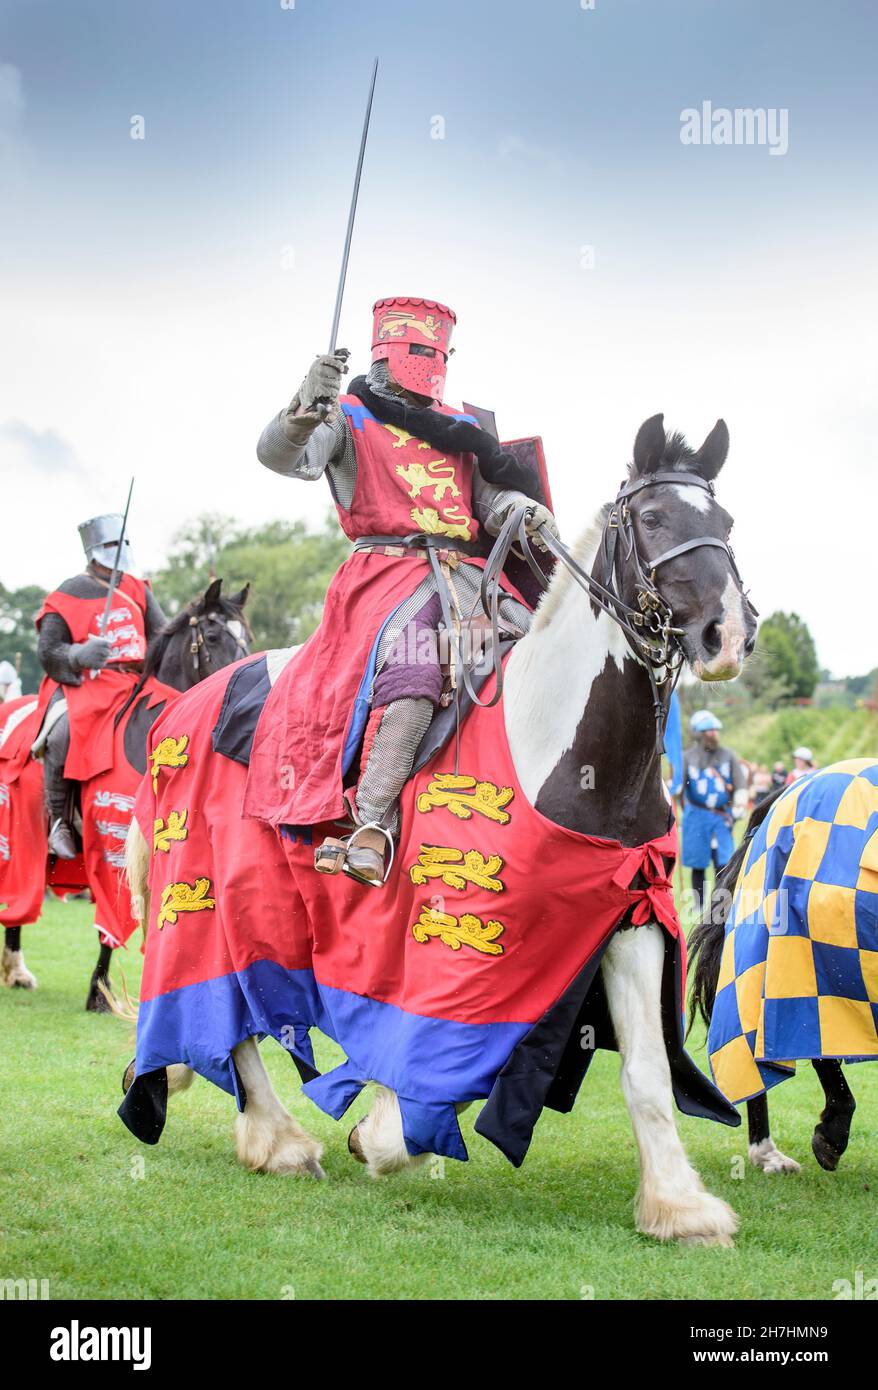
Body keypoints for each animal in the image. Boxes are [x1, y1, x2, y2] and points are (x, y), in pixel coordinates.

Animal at [3, 575, 250, 1011]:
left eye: (247, 635)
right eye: (213, 634)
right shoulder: (113, 841)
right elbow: (115, 918)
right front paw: (99, 992)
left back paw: (15, 970)